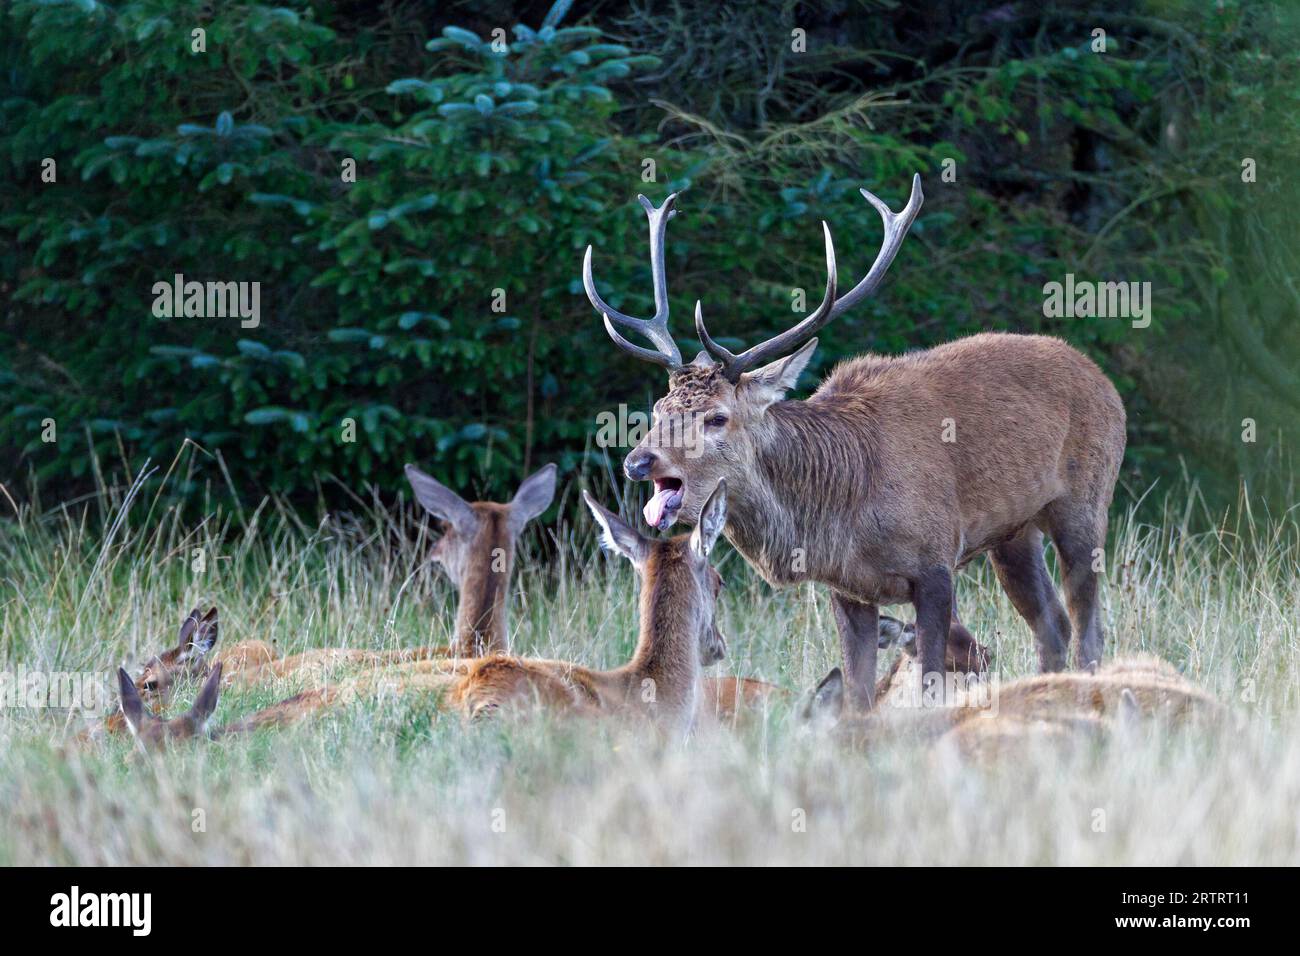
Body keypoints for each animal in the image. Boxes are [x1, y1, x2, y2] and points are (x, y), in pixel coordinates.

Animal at [587, 178, 1128, 712]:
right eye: (659, 409)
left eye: (717, 417)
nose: (638, 461)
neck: (845, 508)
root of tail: (1101, 378)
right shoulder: (846, 588)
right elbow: (857, 693)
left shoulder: (935, 562)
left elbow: (928, 682)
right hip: (1013, 533)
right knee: (1052, 627)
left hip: (1085, 501)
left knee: (1090, 630)